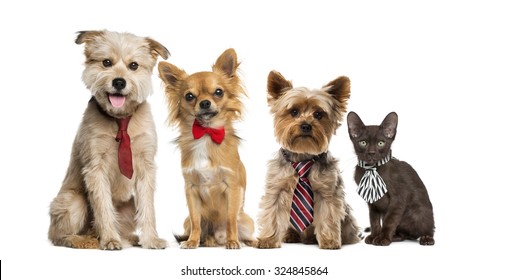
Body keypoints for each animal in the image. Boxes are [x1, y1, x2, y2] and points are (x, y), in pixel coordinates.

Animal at [48, 30, 170, 249]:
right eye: (106, 62)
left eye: (133, 65)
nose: (119, 82)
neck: (120, 119)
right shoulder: (95, 168)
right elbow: (103, 208)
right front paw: (110, 239)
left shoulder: (146, 167)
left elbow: (148, 209)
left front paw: (151, 239)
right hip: (74, 201)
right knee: (59, 236)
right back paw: (82, 240)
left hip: (129, 204)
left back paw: (128, 238)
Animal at [350, 111, 436, 245]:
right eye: (363, 142)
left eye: (381, 143)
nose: (371, 153)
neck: (372, 169)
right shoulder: (372, 202)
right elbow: (374, 220)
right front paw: (374, 235)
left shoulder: (399, 199)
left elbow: (389, 220)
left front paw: (383, 238)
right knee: (405, 234)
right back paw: (395, 237)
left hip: (419, 213)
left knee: (427, 228)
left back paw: (426, 238)